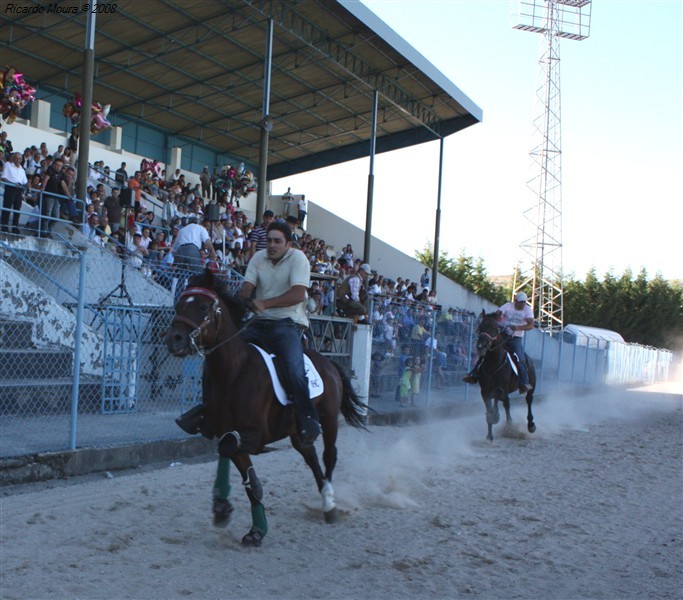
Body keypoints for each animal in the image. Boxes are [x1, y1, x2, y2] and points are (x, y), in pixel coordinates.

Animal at [166, 270, 368, 548]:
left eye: (204, 307)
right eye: (178, 306)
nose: (174, 340)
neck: (234, 372)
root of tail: (329, 363)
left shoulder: (256, 434)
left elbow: (229, 449)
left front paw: (223, 507)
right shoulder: (231, 432)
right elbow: (245, 474)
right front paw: (252, 526)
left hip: (328, 420)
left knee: (329, 456)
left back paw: (329, 504)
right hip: (298, 430)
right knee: (311, 457)